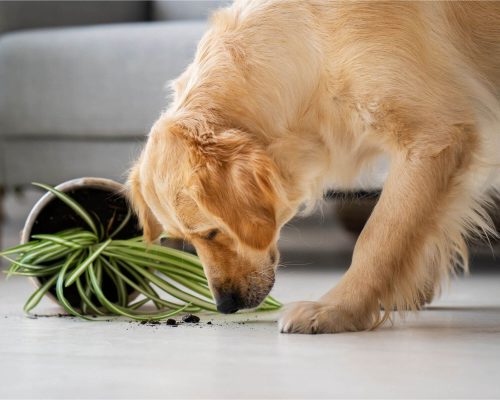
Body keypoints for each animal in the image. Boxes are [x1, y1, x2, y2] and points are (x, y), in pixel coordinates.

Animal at [128, 1, 500, 334]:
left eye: (211, 232)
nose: (225, 305)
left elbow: (379, 236)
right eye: (184, 240)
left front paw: (338, 309)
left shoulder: (434, 137)